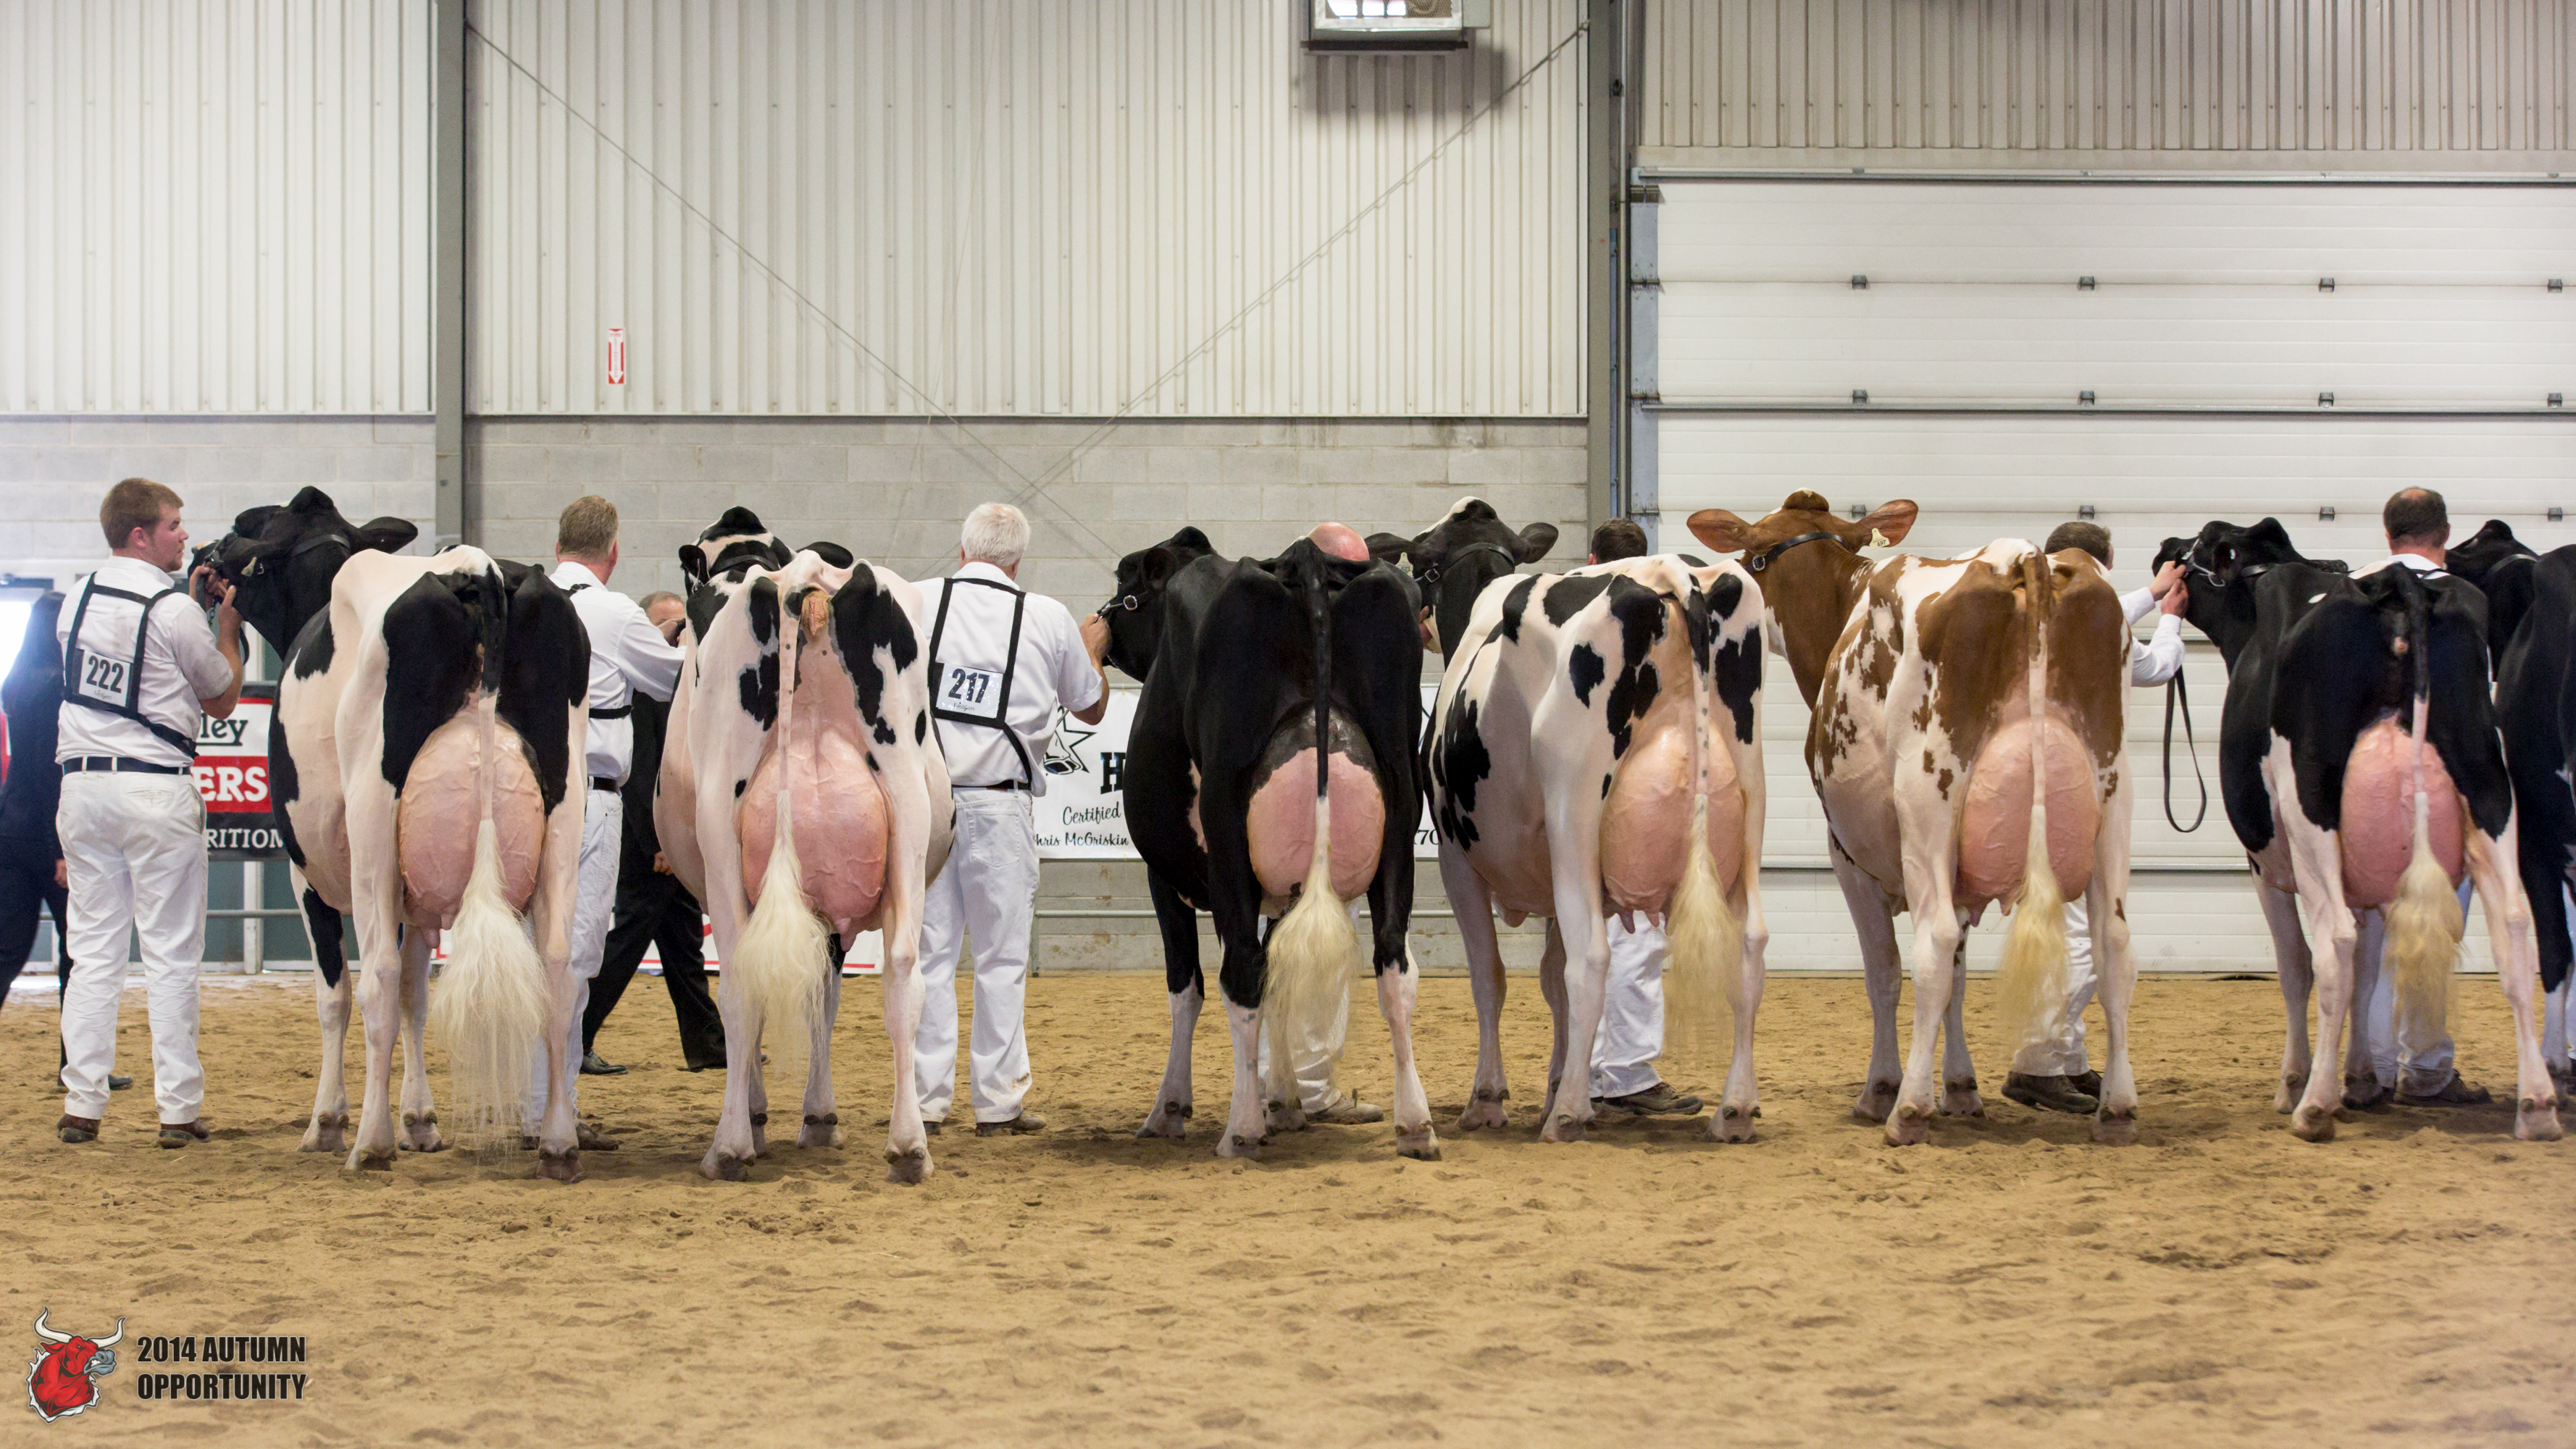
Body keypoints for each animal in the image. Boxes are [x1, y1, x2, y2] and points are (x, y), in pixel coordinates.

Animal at [666, 541, 953, 1182]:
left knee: (740, 978)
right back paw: (909, 1145)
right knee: (903, 971)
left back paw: (730, 1144)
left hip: (720, 833)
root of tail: (803, 574)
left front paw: (779, 1115)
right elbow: (822, 995)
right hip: (907, 811)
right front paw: (816, 1117)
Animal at [1107, 525, 1437, 1160]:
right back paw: (1415, 1124)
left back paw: (1240, 1131)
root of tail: (1301, 561)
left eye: (1126, 585)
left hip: (1228, 835)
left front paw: (1170, 1109)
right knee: (1395, 966)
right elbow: (1284, 982)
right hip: (1400, 823)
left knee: (1241, 971)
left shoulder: (1165, 878)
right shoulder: (1286, 885)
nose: (1102, 630)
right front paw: (1284, 1102)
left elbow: (1187, 987)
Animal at [1688, 493, 2140, 1146]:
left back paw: (1908, 1110)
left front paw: (1883, 1089)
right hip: (2114, 799)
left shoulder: (1849, 856)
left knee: (1935, 939)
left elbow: (1887, 971)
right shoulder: (1960, 872)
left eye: (1754, 556)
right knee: (2115, 944)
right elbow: (1957, 978)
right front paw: (1962, 1088)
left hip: (1929, 802)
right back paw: (2119, 1108)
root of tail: (2019, 558)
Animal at [2155, 518, 2561, 1141]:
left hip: (2311, 810)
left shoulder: (2265, 863)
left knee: (2334, 943)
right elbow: (2369, 974)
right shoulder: (2369, 877)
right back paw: (2537, 1105)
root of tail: (2396, 585)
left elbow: (2298, 968)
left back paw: (2313, 1107)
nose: (2163, 550)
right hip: (2491, 790)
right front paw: (2364, 1081)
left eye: (2200, 543)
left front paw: (2296, 1082)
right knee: (2515, 931)